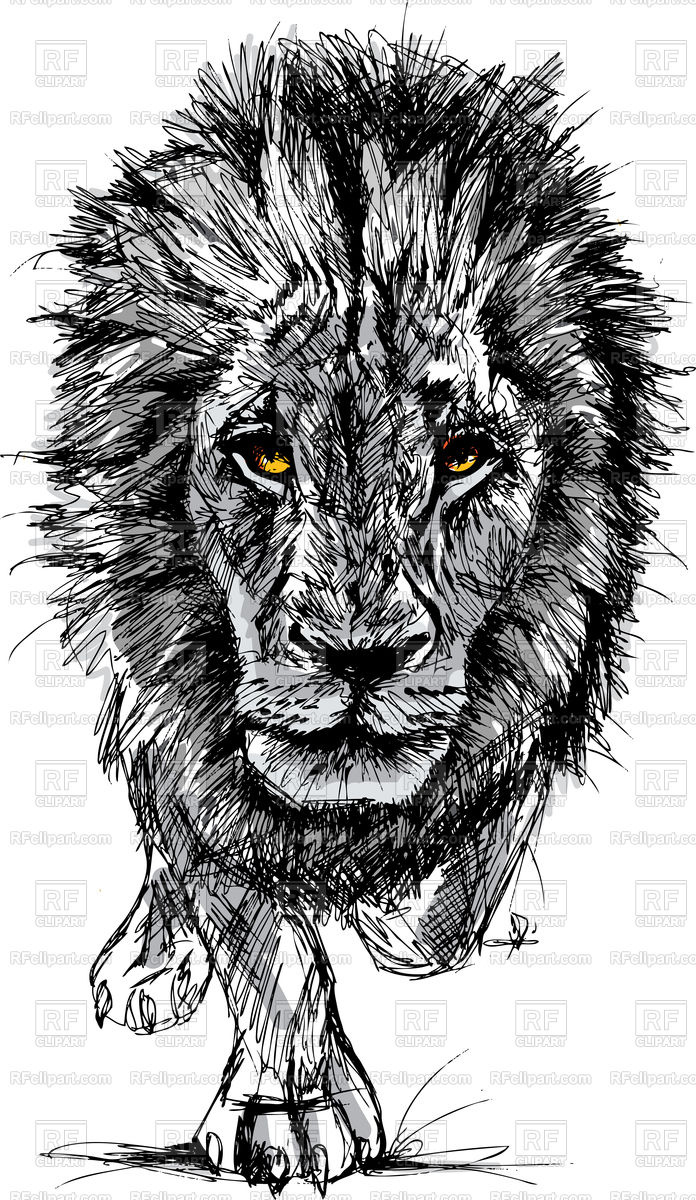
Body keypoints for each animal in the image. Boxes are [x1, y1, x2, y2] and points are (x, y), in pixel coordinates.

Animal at [39, 30, 677, 1192]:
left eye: (464, 456)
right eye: (262, 450)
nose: (358, 658)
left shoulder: (540, 680)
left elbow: (451, 894)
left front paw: (403, 909)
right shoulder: (180, 711)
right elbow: (256, 921)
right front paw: (287, 1110)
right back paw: (153, 961)